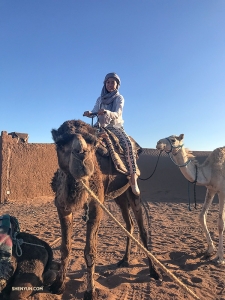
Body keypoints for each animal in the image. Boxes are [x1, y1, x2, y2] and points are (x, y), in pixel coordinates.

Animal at [50, 119, 160, 300]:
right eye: (59, 143)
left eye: (93, 142)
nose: (81, 156)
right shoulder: (62, 206)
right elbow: (65, 247)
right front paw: (58, 284)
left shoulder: (96, 206)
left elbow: (90, 251)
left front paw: (90, 291)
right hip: (119, 197)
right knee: (129, 225)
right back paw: (124, 260)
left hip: (133, 189)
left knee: (142, 229)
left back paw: (155, 271)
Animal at [157, 135, 225, 264]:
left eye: (173, 139)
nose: (158, 143)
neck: (208, 172)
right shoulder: (211, 189)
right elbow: (201, 216)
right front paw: (210, 249)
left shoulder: (222, 191)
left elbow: (220, 224)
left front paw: (219, 257)